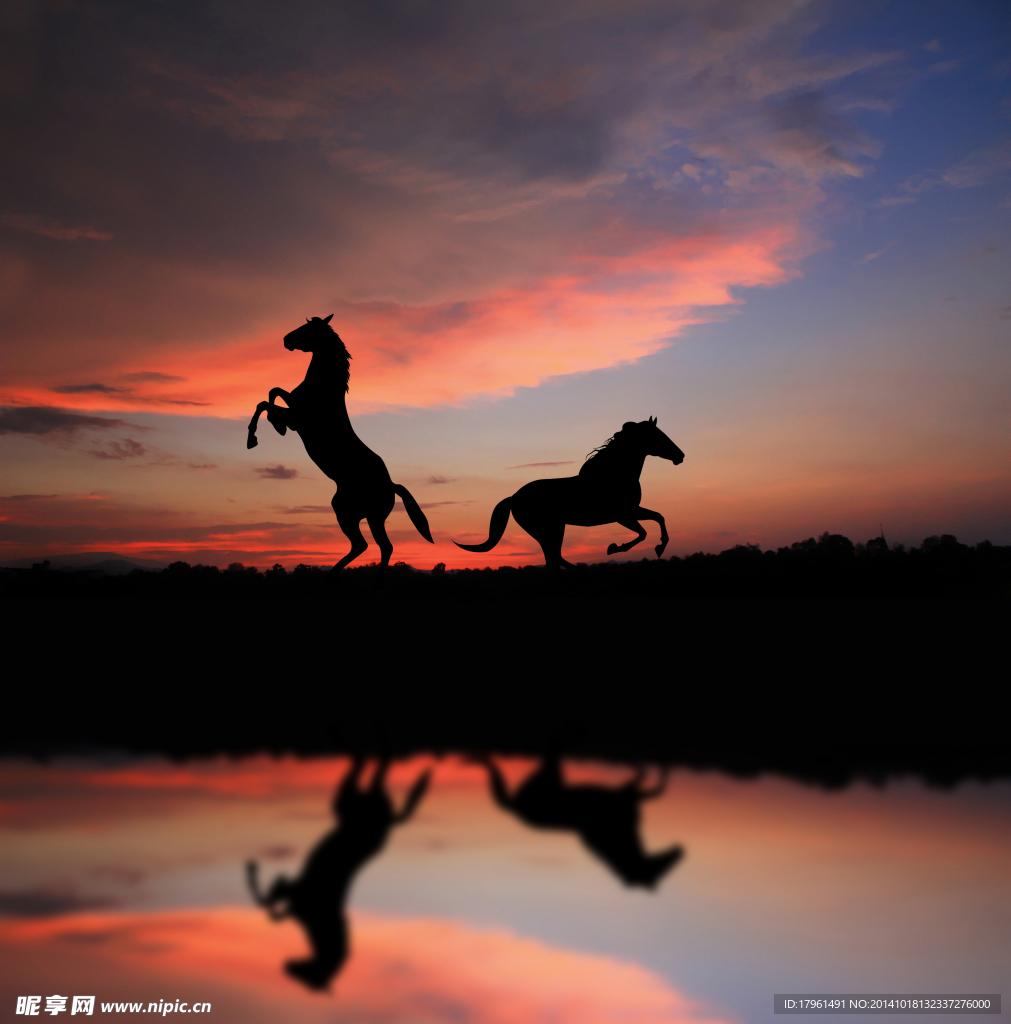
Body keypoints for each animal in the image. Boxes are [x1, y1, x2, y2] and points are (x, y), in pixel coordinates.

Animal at [248, 315, 434, 573]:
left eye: (308, 328)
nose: (286, 340)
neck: (322, 388)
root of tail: (391, 485)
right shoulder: (294, 408)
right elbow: (272, 393)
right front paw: (273, 427)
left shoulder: (297, 418)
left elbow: (266, 402)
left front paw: (256, 437)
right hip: (353, 512)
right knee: (369, 546)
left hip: (362, 515)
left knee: (375, 545)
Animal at [454, 417, 684, 577]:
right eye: (659, 436)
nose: (680, 456)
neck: (614, 473)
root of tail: (514, 497)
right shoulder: (623, 515)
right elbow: (643, 532)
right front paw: (614, 548)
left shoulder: (631, 511)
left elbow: (658, 517)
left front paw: (659, 547)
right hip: (548, 529)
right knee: (553, 559)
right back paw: (581, 574)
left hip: (553, 528)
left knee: (554, 559)